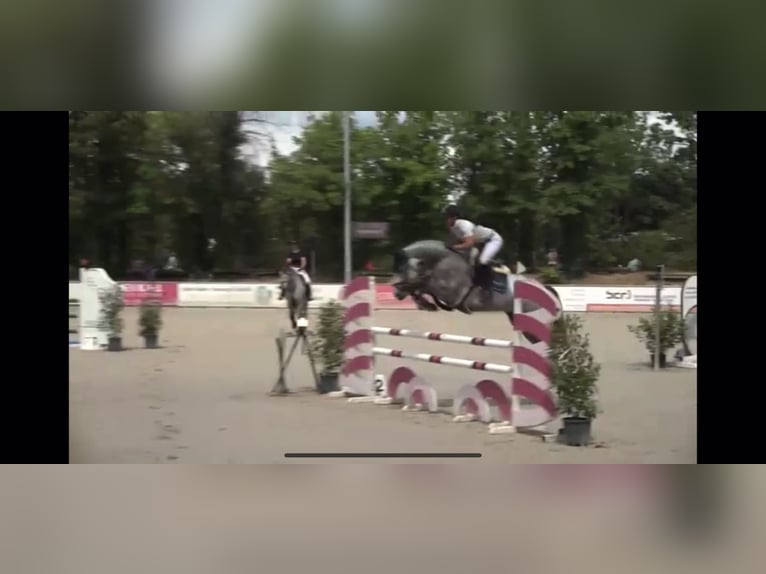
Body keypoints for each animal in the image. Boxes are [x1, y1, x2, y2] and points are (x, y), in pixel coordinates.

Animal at [390, 241, 564, 344]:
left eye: (403, 269)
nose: (396, 293)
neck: (442, 262)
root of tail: (548, 290)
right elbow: (422, 288)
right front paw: (425, 303)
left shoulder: (451, 293)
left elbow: (426, 286)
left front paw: (426, 303)